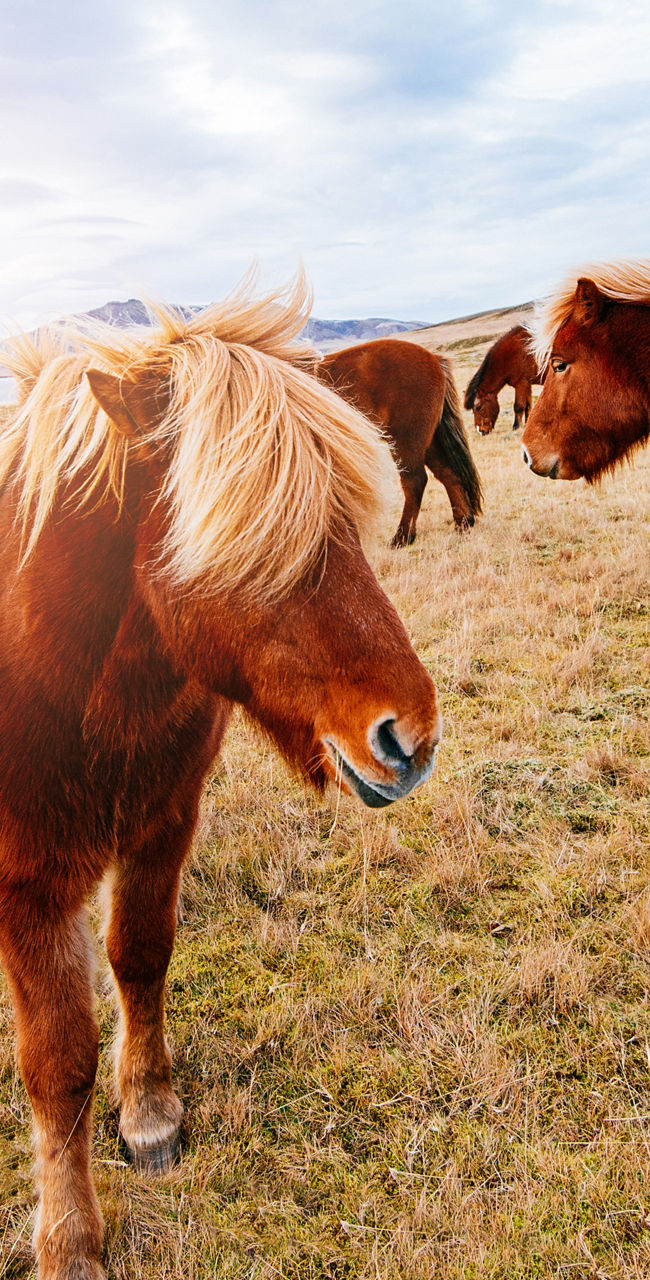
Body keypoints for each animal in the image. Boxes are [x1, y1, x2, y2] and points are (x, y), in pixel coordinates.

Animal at [0, 278, 441, 1280]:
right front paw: (70, 1240)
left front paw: (151, 1114)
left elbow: (141, 959)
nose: (412, 738)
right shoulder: (29, 884)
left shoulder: (164, 822)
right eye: (247, 539)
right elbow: (58, 1063)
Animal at [316, 339, 483, 546]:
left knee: (415, 482)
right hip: (428, 443)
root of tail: (434, 359)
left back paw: (403, 536)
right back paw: (463, 524)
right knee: (448, 474)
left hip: (406, 441)